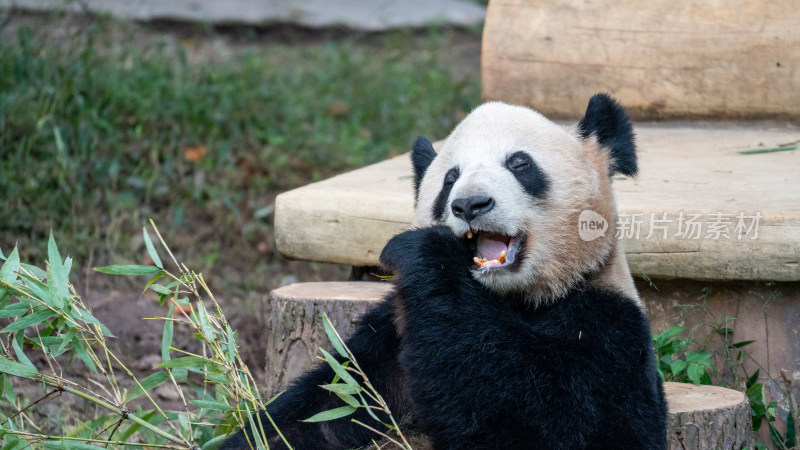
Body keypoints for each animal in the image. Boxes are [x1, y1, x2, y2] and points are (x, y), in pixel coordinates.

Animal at [222, 93, 664, 448]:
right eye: (450, 178)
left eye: (520, 164)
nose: (470, 204)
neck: (512, 297)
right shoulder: (388, 342)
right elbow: (325, 408)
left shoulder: (608, 327)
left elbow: (559, 419)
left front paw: (424, 250)